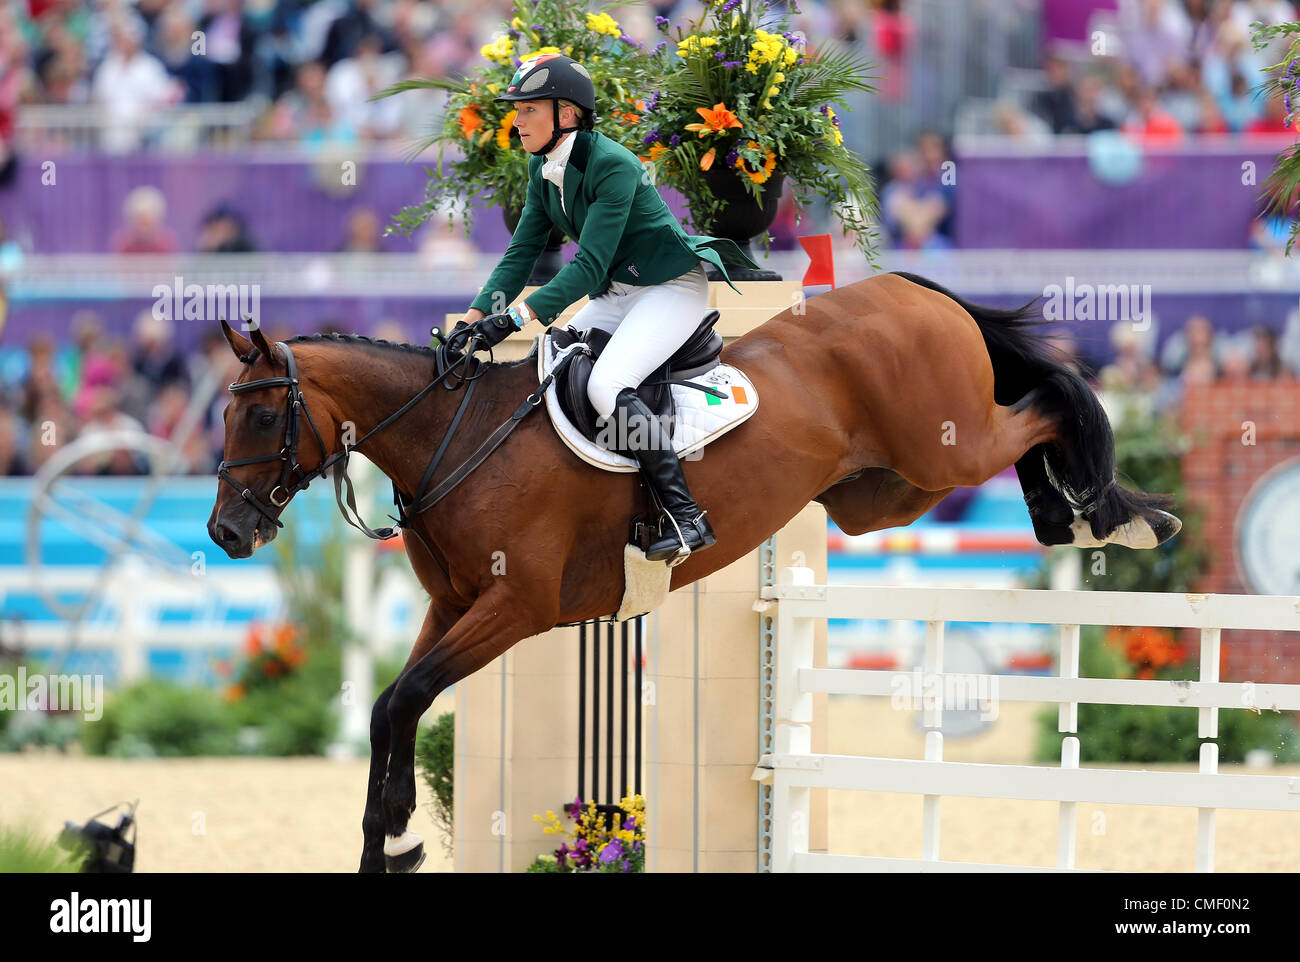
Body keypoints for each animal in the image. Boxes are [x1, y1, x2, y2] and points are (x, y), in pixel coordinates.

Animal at [205, 269, 1180, 873]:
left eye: (261, 419)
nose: (227, 532)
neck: (457, 436)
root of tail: (904, 288)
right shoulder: (453, 607)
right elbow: (388, 706)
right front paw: (389, 841)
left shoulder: (515, 608)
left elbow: (406, 698)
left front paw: (399, 832)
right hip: (882, 493)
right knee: (1016, 425)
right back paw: (1083, 514)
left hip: (944, 445)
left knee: (1045, 404)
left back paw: (1114, 515)